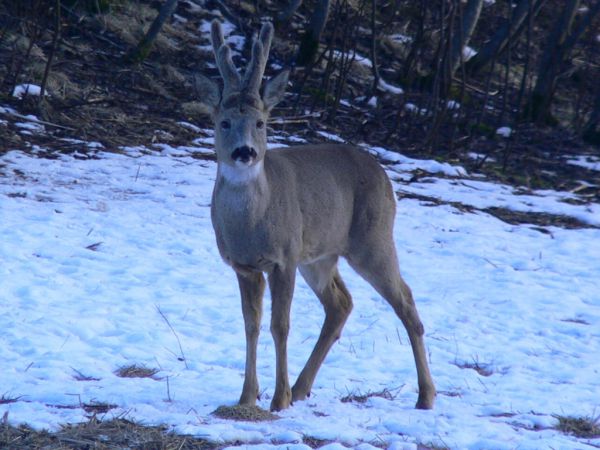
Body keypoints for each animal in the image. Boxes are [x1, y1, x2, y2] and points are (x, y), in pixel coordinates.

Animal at [197, 21, 436, 414]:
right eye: (224, 122)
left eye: (261, 122)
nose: (245, 152)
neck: (250, 225)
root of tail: (384, 175)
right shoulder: (244, 266)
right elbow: (251, 325)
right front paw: (247, 397)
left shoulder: (284, 258)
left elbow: (280, 325)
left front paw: (277, 400)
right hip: (321, 256)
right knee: (341, 304)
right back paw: (301, 388)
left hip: (373, 240)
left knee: (405, 299)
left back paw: (426, 395)